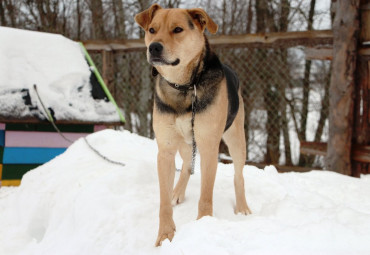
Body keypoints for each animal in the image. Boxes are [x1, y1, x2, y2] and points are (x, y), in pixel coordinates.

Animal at [134, 3, 250, 246]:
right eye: (151, 30)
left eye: (177, 29)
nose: (154, 47)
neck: (184, 87)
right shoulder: (166, 149)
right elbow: (163, 201)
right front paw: (165, 235)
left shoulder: (208, 146)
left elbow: (206, 195)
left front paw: (204, 224)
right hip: (185, 143)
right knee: (187, 165)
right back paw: (177, 191)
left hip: (235, 138)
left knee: (238, 175)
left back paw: (243, 207)